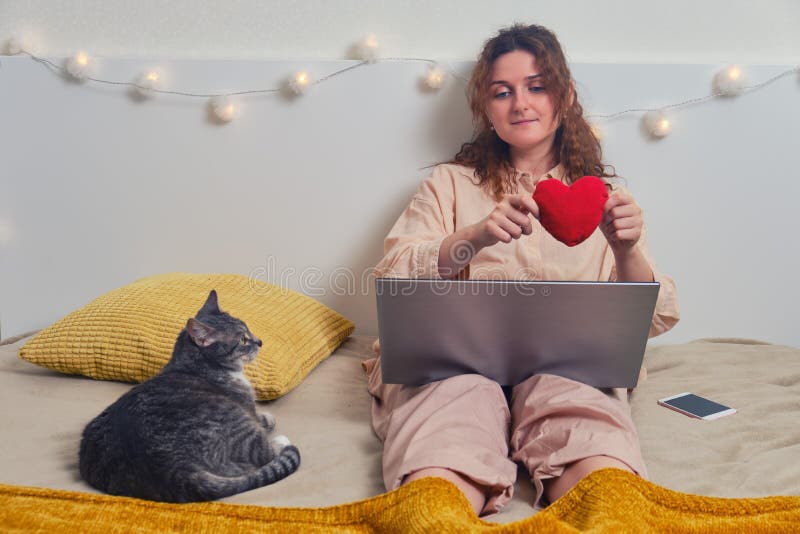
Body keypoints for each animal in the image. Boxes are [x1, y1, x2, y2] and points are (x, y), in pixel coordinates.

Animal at [79, 292, 300, 504]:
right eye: (243, 340)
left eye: (249, 330)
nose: (260, 342)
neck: (196, 364)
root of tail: (176, 470)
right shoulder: (247, 406)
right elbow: (261, 418)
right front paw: (269, 419)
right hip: (238, 425)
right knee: (264, 453)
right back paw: (281, 441)